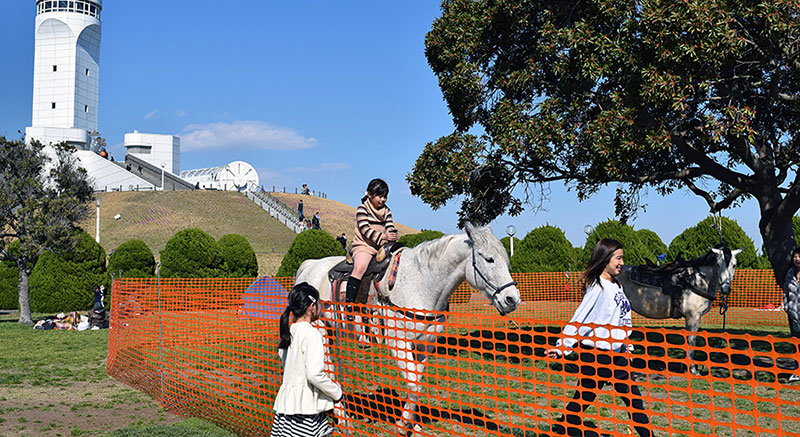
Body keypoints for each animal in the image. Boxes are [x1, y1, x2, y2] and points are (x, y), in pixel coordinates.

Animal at [294, 225, 520, 432]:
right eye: (489, 259)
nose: (512, 299)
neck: (422, 284)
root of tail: (309, 266)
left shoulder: (424, 345)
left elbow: (418, 381)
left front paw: (411, 423)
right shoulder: (399, 343)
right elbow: (413, 382)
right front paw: (403, 426)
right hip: (320, 331)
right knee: (328, 370)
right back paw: (343, 420)